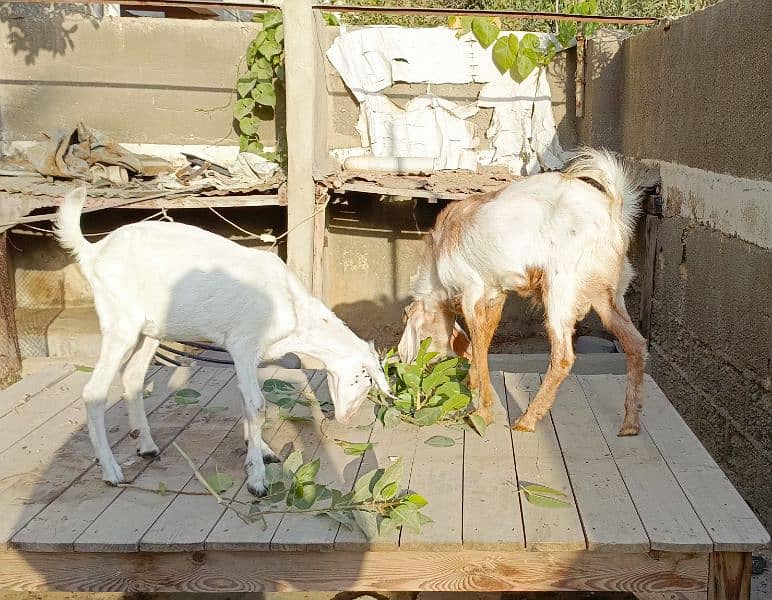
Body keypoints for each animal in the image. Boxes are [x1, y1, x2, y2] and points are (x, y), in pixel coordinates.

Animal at [56, 189, 390, 496]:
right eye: (365, 378)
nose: (347, 418)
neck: (295, 311)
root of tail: (94, 252)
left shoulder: (249, 354)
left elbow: (246, 400)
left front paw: (261, 450)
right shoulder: (243, 344)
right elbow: (256, 404)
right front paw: (257, 479)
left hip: (150, 329)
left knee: (133, 377)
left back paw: (147, 446)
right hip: (120, 324)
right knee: (94, 392)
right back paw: (111, 471)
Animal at [402, 147, 648, 434]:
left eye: (422, 338)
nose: (415, 367)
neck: (437, 262)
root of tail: (614, 213)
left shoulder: (471, 291)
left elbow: (478, 343)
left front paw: (482, 413)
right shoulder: (495, 294)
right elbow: (483, 342)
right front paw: (473, 384)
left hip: (560, 292)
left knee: (563, 357)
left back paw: (527, 420)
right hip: (608, 295)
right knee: (635, 344)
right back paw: (630, 423)